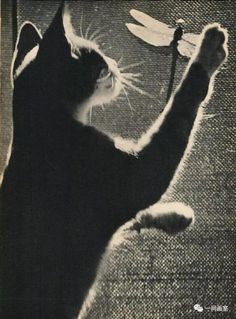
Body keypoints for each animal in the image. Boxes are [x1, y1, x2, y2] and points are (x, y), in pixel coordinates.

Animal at [0, 3, 229, 319]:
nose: (114, 65)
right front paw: (207, 50)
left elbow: (134, 217)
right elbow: (179, 113)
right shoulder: (134, 176)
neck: (46, 126)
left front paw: (173, 215)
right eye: (98, 57)